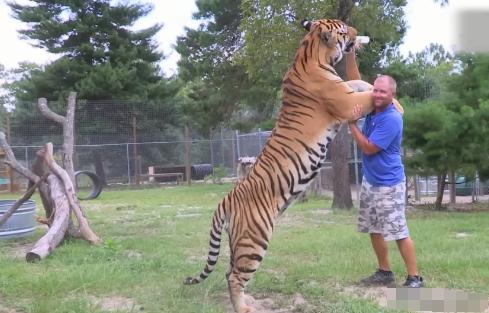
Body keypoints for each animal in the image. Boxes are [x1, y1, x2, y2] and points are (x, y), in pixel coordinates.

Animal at [185, 18, 402, 310]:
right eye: (345, 29)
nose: (358, 34)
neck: (310, 53)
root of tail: (226, 199)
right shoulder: (346, 103)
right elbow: (364, 93)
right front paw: (396, 102)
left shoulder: (346, 90)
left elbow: (358, 81)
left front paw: (383, 91)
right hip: (254, 239)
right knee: (234, 276)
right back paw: (244, 308)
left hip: (238, 240)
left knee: (229, 271)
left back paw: (248, 301)